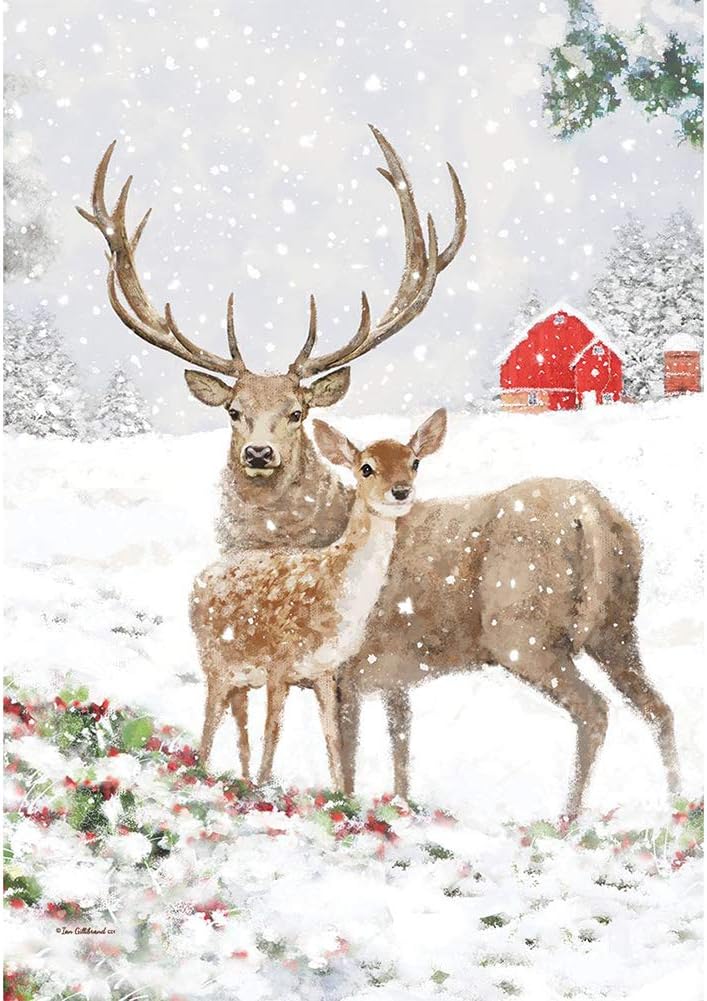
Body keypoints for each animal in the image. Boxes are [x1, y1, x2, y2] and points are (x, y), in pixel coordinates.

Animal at [190, 411, 446, 787]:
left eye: (414, 462)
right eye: (366, 467)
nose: (401, 491)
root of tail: (198, 580)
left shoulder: (325, 671)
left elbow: (332, 738)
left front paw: (341, 792)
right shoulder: (279, 662)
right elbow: (274, 731)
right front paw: (265, 786)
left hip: (242, 675)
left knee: (238, 721)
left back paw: (239, 777)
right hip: (214, 661)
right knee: (210, 721)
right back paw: (203, 771)